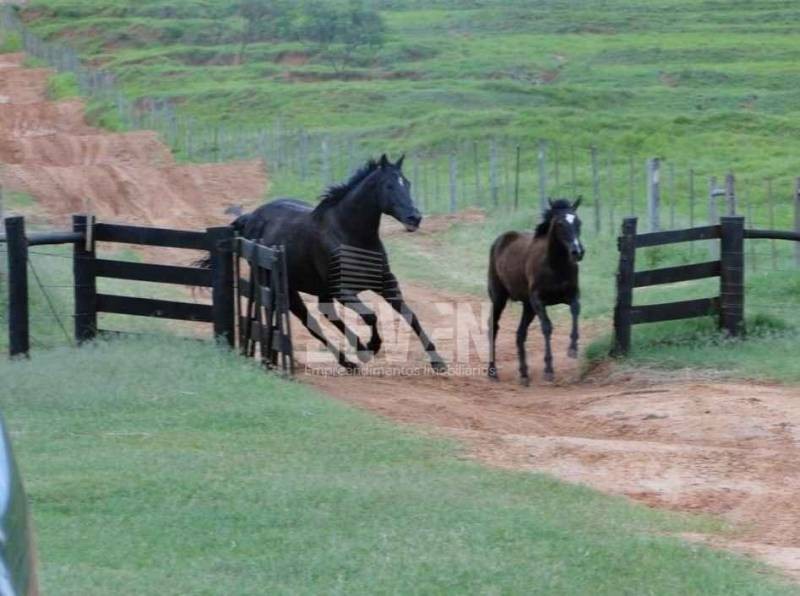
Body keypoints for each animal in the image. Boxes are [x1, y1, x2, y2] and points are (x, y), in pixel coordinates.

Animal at [231, 155, 446, 372]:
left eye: (407, 183)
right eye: (389, 185)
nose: (414, 218)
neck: (350, 235)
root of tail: (250, 218)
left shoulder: (386, 284)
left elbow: (410, 316)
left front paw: (438, 361)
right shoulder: (342, 290)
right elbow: (370, 315)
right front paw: (371, 346)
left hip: (321, 290)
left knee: (328, 315)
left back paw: (352, 358)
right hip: (287, 289)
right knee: (311, 322)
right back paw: (352, 358)